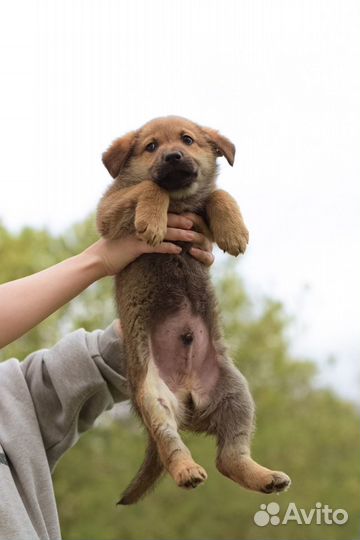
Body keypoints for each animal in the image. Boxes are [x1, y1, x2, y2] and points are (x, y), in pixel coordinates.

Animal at [96, 116, 290, 504]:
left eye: (187, 140)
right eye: (151, 146)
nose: (172, 156)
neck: (180, 204)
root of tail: (188, 397)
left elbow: (218, 194)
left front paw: (233, 230)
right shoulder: (108, 212)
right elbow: (148, 188)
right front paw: (152, 220)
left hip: (236, 394)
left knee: (229, 458)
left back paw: (264, 477)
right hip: (155, 399)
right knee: (173, 446)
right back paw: (186, 471)